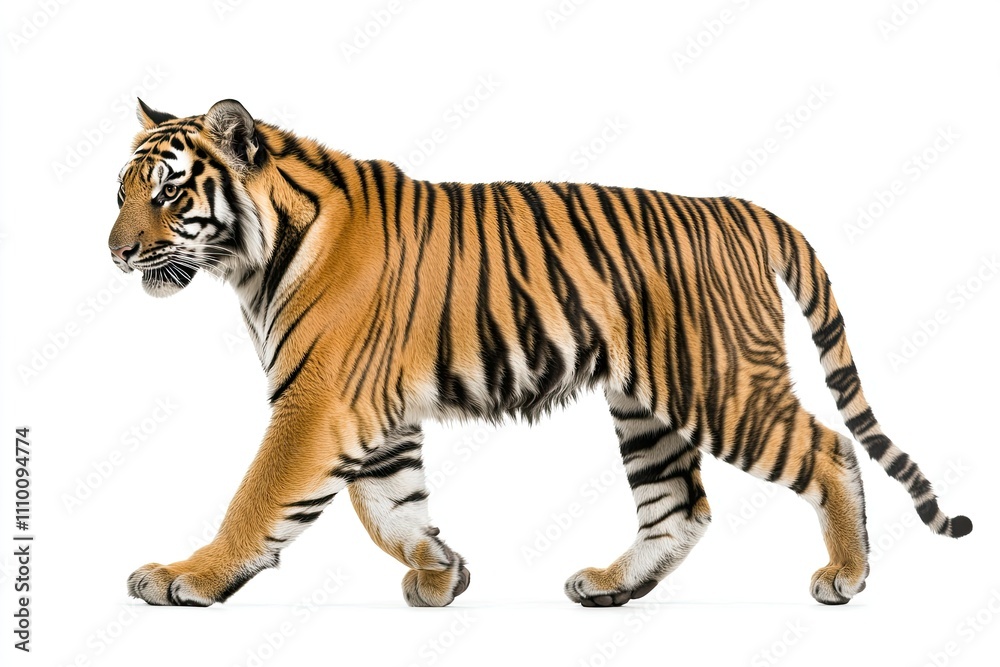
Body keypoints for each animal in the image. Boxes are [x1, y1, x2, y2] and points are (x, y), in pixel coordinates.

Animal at [109, 98, 972, 609]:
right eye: (121, 191)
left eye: (168, 191)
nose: (115, 252)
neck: (253, 257)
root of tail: (742, 208)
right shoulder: (374, 414)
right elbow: (388, 505)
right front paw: (441, 568)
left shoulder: (316, 401)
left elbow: (258, 498)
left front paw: (189, 576)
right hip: (646, 405)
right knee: (680, 505)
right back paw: (611, 585)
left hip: (720, 385)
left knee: (828, 449)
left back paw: (847, 574)